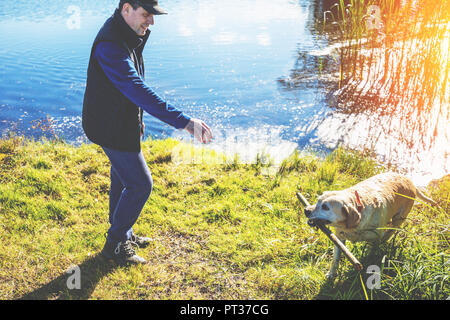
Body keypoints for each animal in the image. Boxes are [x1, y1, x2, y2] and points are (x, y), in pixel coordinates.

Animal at [304, 171, 438, 278]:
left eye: (325, 207)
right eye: (318, 201)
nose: (306, 210)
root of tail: (410, 181)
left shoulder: (375, 239)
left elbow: (372, 253)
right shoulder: (339, 239)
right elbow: (335, 259)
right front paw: (331, 274)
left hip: (399, 218)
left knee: (391, 230)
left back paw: (386, 236)